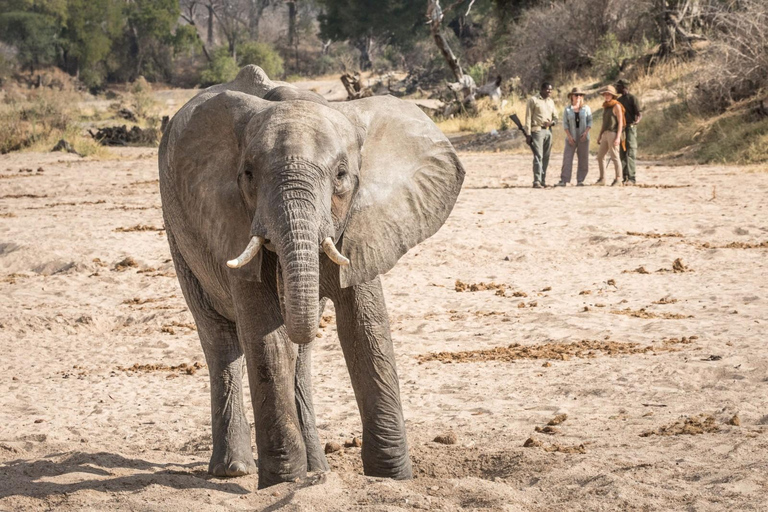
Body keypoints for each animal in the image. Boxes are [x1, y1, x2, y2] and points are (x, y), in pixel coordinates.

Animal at [159, 66, 464, 490]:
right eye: (248, 175)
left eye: (341, 176)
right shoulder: (230, 219)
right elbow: (265, 336)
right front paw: (281, 482)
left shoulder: (361, 223)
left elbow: (365, 329)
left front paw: (391, 479)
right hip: (177, 231)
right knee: (219, 337)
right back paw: (234, 470)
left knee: (299, 357)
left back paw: (317, 468)